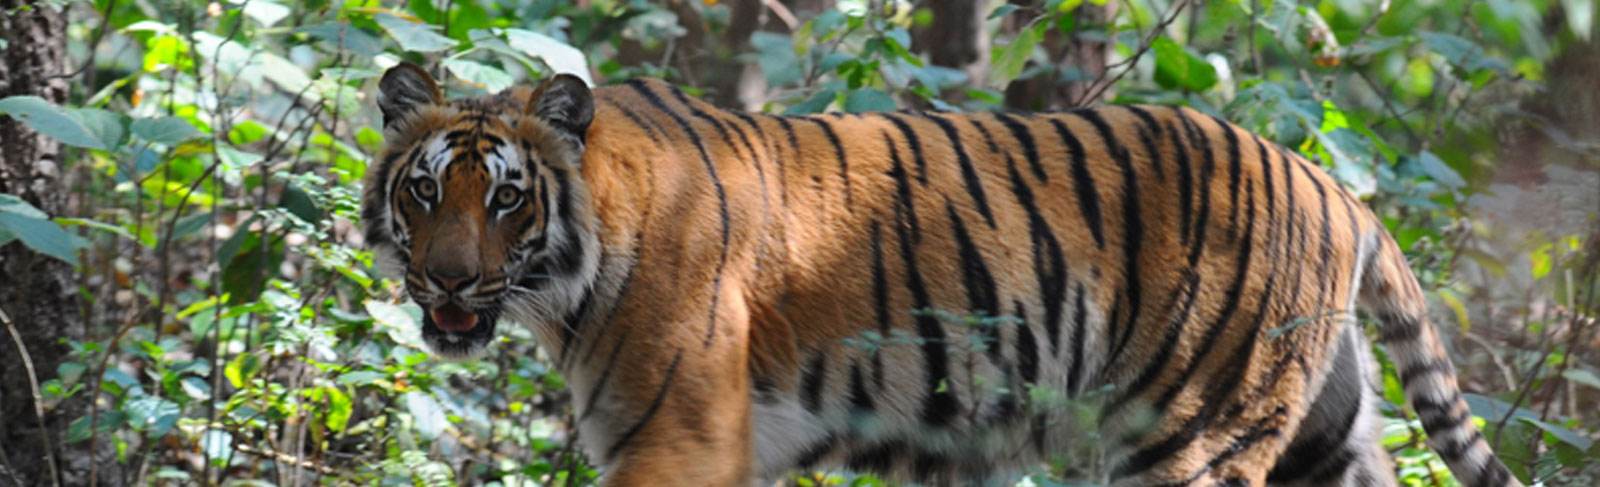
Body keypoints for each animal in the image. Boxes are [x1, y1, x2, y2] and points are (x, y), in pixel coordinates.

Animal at [362, 62, 1520, 487]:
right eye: (424, 192)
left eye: (506, 199)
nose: (448, 285)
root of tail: (1338, 188)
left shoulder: (677, 440)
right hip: (1319, 436)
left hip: (1192, 435)